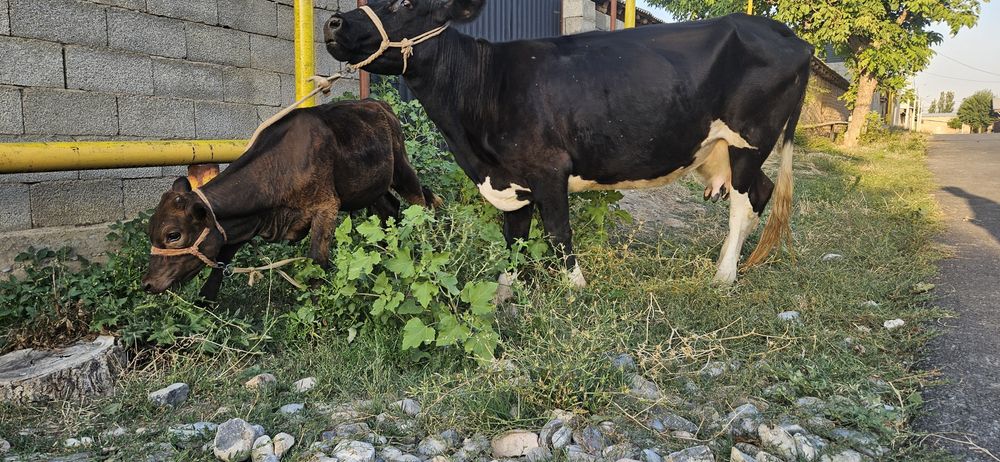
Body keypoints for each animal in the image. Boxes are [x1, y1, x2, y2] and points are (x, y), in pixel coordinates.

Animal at [141, 99, 437, 301]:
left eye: (173, 235)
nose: (147, 283)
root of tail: (378, 104)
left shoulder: (326, 207)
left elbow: (316, 260)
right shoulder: (245, 221)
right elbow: (223, 256)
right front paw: (206, 301)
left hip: (402, 170)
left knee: (419, 204)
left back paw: (422, 249)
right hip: (370, 187)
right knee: (389, 209)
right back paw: (385, 253)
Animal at [323, 0, 812, 287]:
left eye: (404, 3)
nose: (332, 20)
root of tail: (786, 35)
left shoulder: (548, 168)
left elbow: (558, 233)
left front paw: (575, 288)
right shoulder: (509, 179)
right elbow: (515, 237)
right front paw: (508, 289)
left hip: (751, 140)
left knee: (744, 203)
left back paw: (723, 277)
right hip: (720, 150)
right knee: (762, 191)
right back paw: (736, 265)